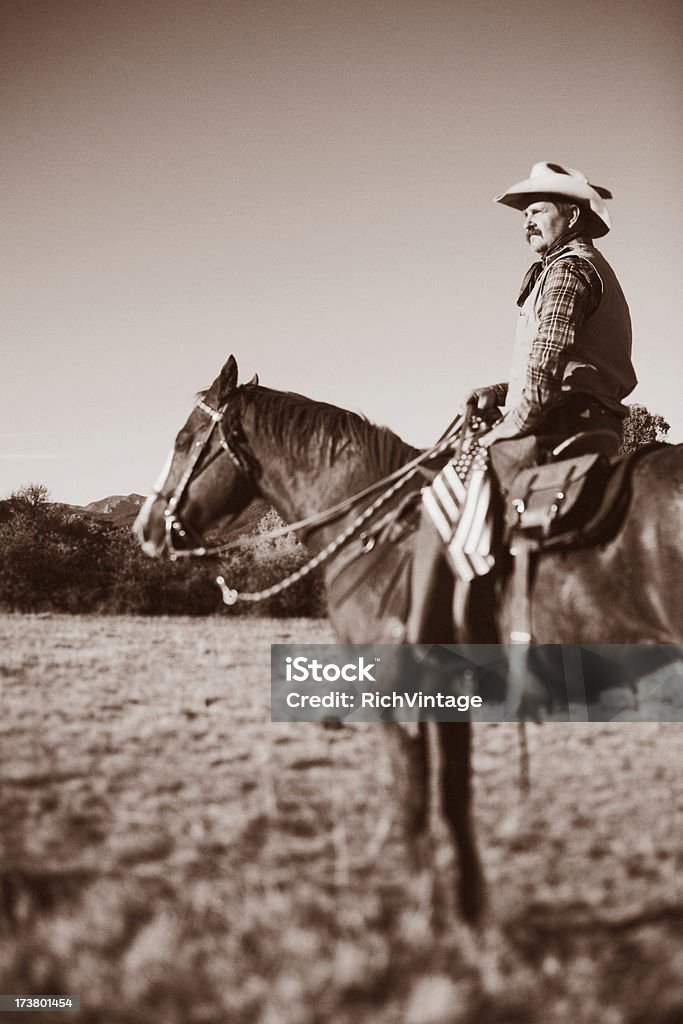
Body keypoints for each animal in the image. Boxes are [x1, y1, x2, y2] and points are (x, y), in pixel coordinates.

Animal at [133, 356, 683, 925]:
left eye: (183, 440)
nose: (145, 528)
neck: (372, 530)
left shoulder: (394, 693)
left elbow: (413, 801)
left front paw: (427, 915)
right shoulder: (447, 695)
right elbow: (455, 799)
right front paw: (469, 911)